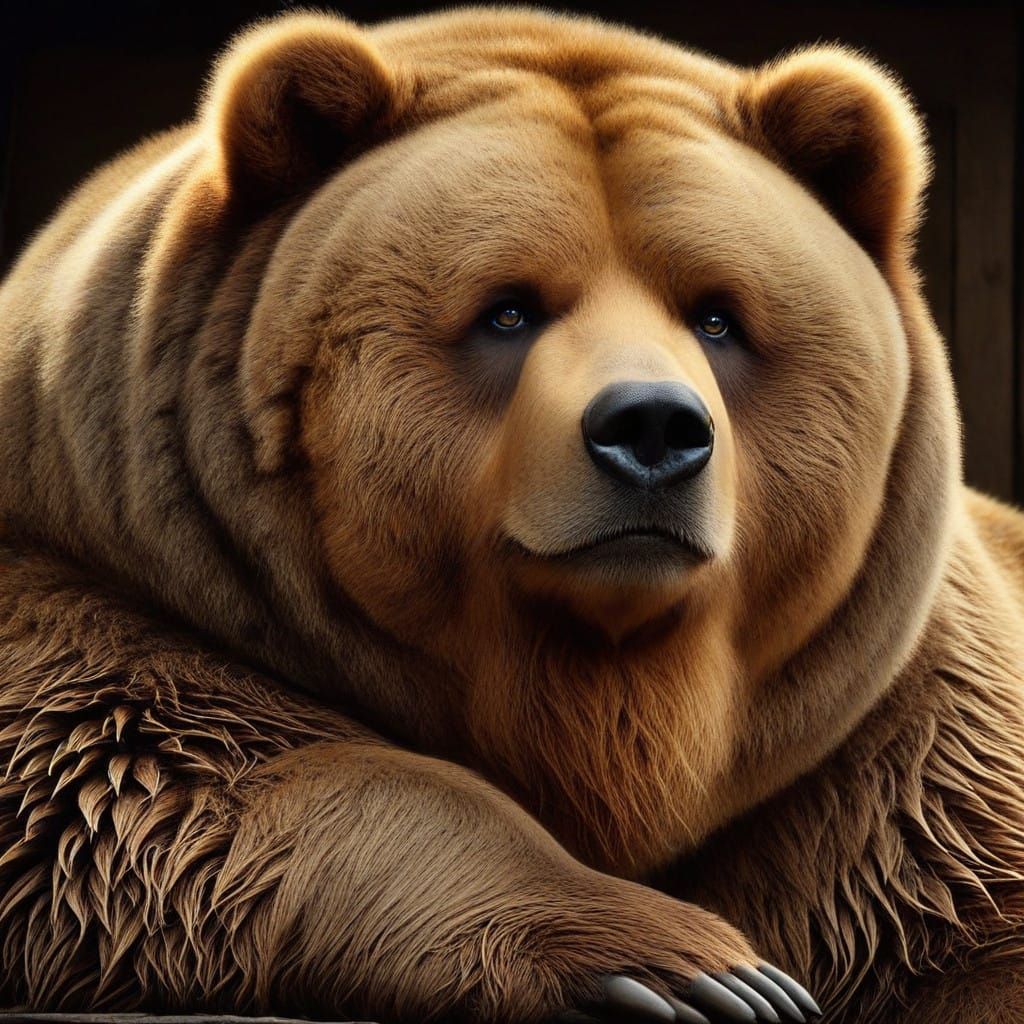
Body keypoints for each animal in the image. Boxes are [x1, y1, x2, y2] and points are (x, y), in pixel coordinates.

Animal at [0, 5, 1022, 1022]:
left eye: (718, 317)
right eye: (508, 309)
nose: (652, 427)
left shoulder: (891, 746)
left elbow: (969, 900)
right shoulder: (87, 598)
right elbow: (138, 784)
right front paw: (693, 972)